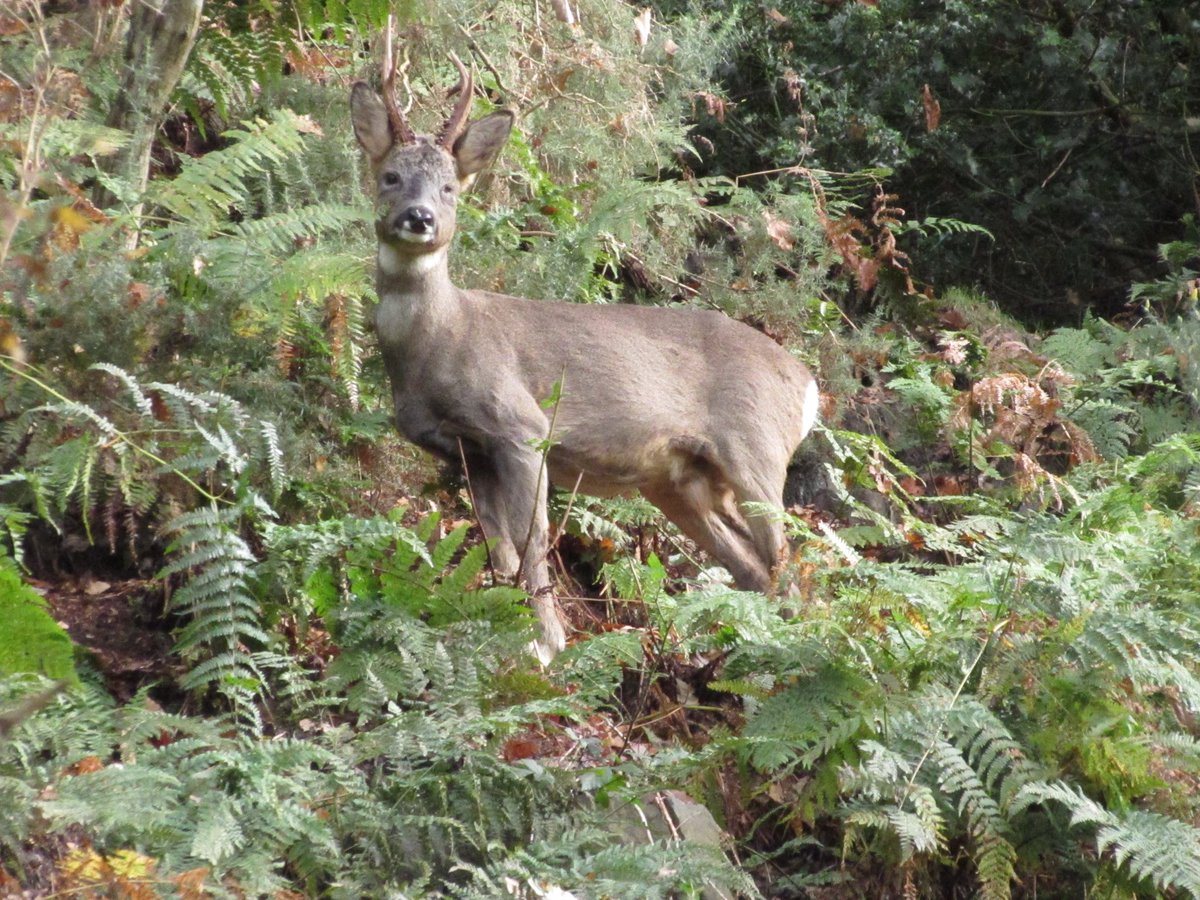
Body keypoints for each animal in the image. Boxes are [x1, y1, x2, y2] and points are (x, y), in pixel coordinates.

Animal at [350, 49, 819, 663]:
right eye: (391, 176)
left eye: (450, 187)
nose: (420, 217)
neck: (443, 343)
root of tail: (809, 385)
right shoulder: (466, 452)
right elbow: (499, 549)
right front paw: (506, 633)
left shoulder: (523, 428)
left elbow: (531, 543)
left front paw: (545, 646)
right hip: (679, 481)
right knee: (755, 569)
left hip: (756, 450)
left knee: (790, 571)